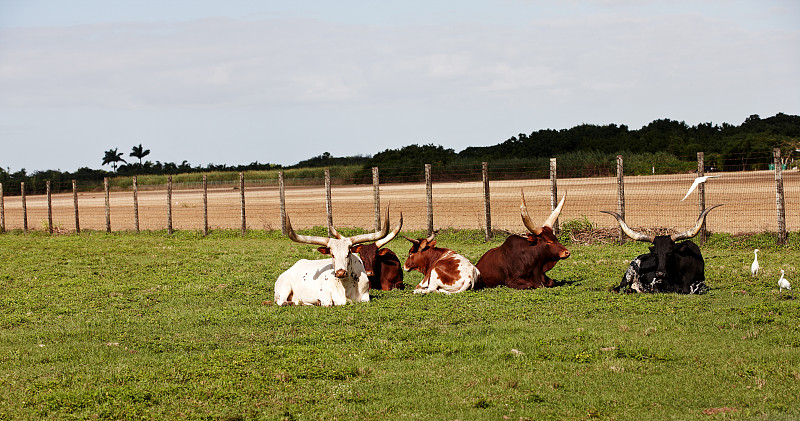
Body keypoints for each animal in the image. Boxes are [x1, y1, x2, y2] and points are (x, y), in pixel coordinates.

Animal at [276, 207, 404, 306]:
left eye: (348, 253)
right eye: (332, 255)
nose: (340, 272)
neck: (345, 286)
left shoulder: (365, 295)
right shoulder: (325, 295)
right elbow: (328, 303)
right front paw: (319, 302)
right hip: (284, 287)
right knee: (282, 302)